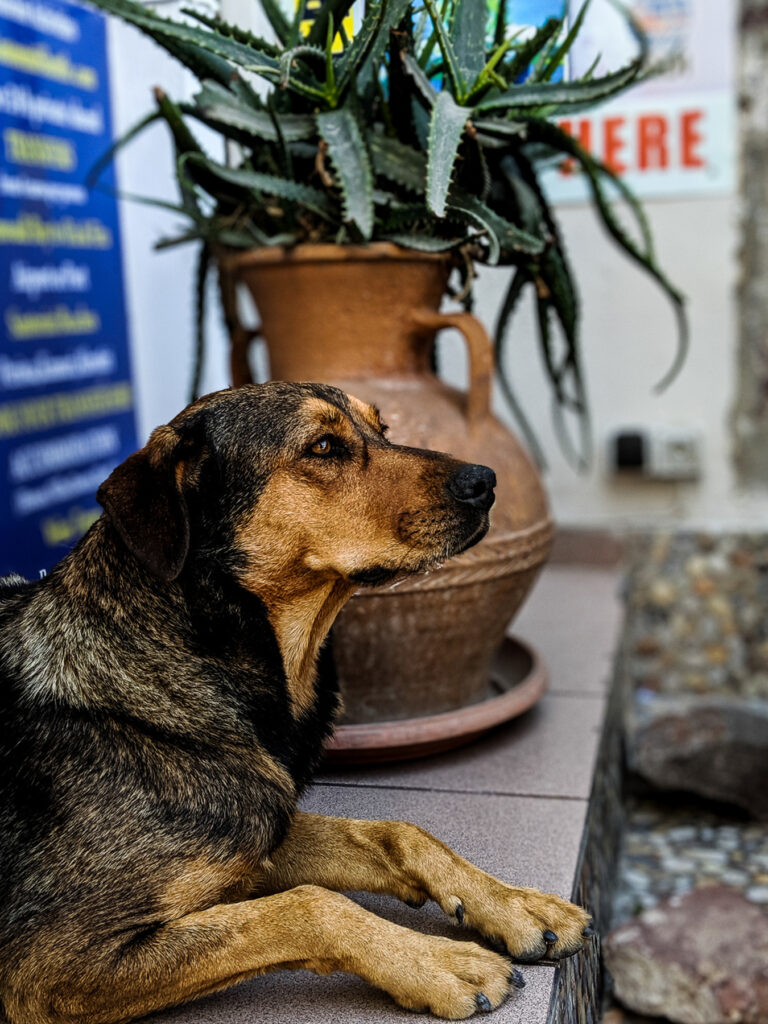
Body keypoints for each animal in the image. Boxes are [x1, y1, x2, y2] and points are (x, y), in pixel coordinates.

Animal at [0, 385, 593, 1024]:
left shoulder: (261, 832)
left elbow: (399, 832)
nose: (486, 482)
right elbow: (311, 905)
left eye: (383, 428)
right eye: (325, 447)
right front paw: (438, 962)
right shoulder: (45, 965)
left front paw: (516, 906)